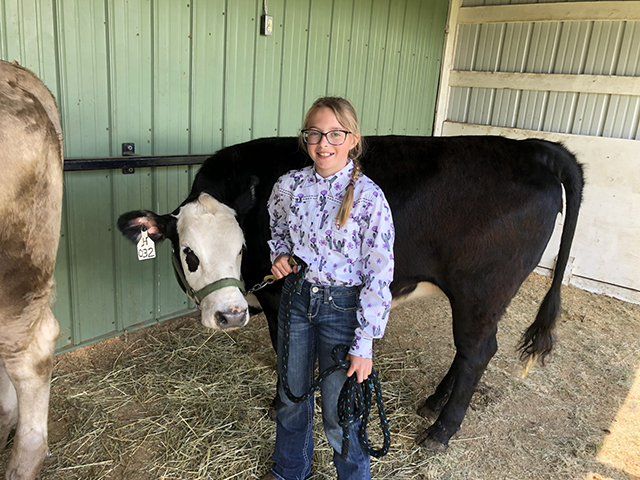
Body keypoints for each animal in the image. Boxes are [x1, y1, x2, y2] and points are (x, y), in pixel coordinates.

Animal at [118, 135, 583, 451]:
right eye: (189, 253)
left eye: (240, 249)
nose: (230, 315)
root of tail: (530, 148)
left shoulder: (279, 299)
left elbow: (284, 349)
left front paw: (280, 404)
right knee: (473, 350)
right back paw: (433, 403)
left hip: (480, 289)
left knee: (477, 351)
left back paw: (440, 430)